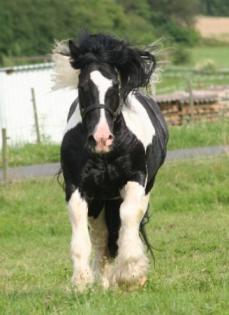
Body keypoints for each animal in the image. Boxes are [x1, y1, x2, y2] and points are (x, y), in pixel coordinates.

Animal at [52, 32, 169, 292]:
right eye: (83, 86)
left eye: (115, 85)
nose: (101, 138)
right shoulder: (78, 187)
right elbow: (82, 230)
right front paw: (81, 282)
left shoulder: (135, 180)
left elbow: (129, 217)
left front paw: (131, 274)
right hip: (100, 201)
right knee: (101, 236)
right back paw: (105, 283)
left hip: (142, 190)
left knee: (127, 223)